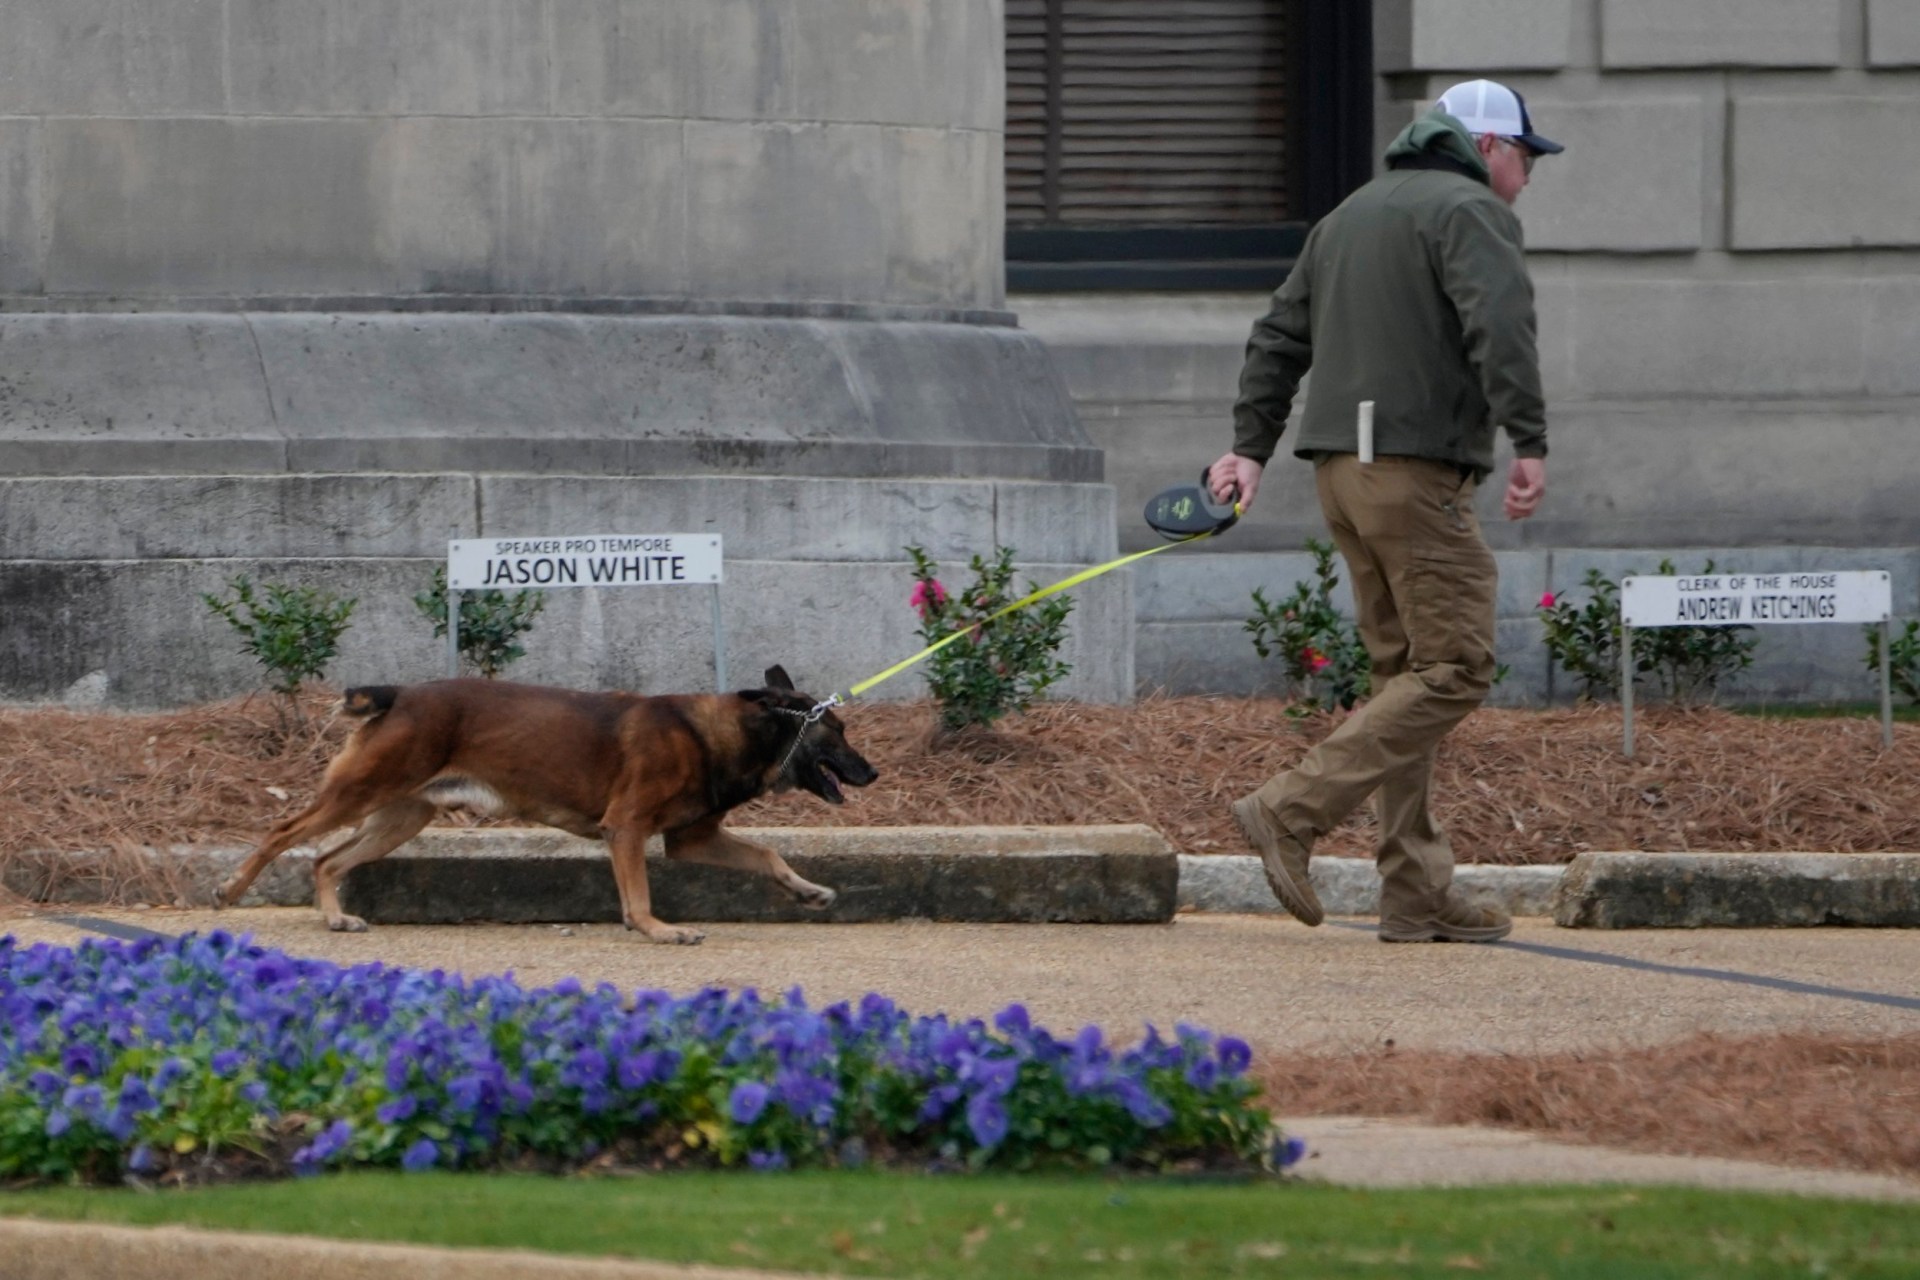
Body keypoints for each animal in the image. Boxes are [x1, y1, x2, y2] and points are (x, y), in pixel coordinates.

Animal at [220, 667, 879, 948]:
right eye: (838, 730)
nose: (872, 772)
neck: (724, 732)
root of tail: (399, 692)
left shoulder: (691, 839)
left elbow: (767, 855)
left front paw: (807, 891)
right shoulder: (627, 829)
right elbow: (640, 895)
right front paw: (656, 930)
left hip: (401, 816)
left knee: (326, 860)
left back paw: (335, 917)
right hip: (362, 792)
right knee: (284, 832)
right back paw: (232, 887)